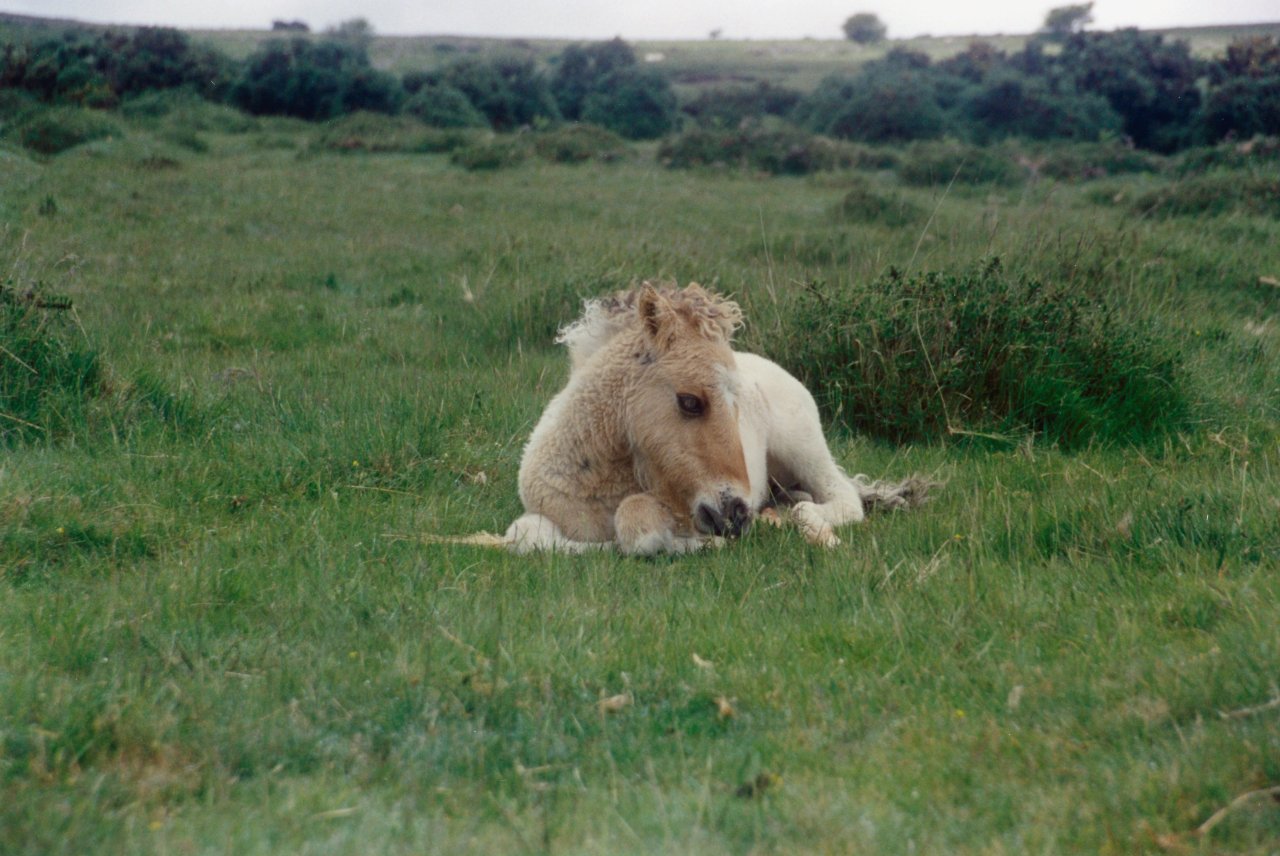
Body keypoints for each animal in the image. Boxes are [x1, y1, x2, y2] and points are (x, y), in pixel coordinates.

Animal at [486, 281, 931, 555]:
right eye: (689, 402)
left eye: (737, 405)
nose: (736, 514)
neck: (598, 487)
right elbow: (525, 535)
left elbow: (636, 525)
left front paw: (699, 546)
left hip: (803, 446)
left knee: (844, 497)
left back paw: (804, 521)